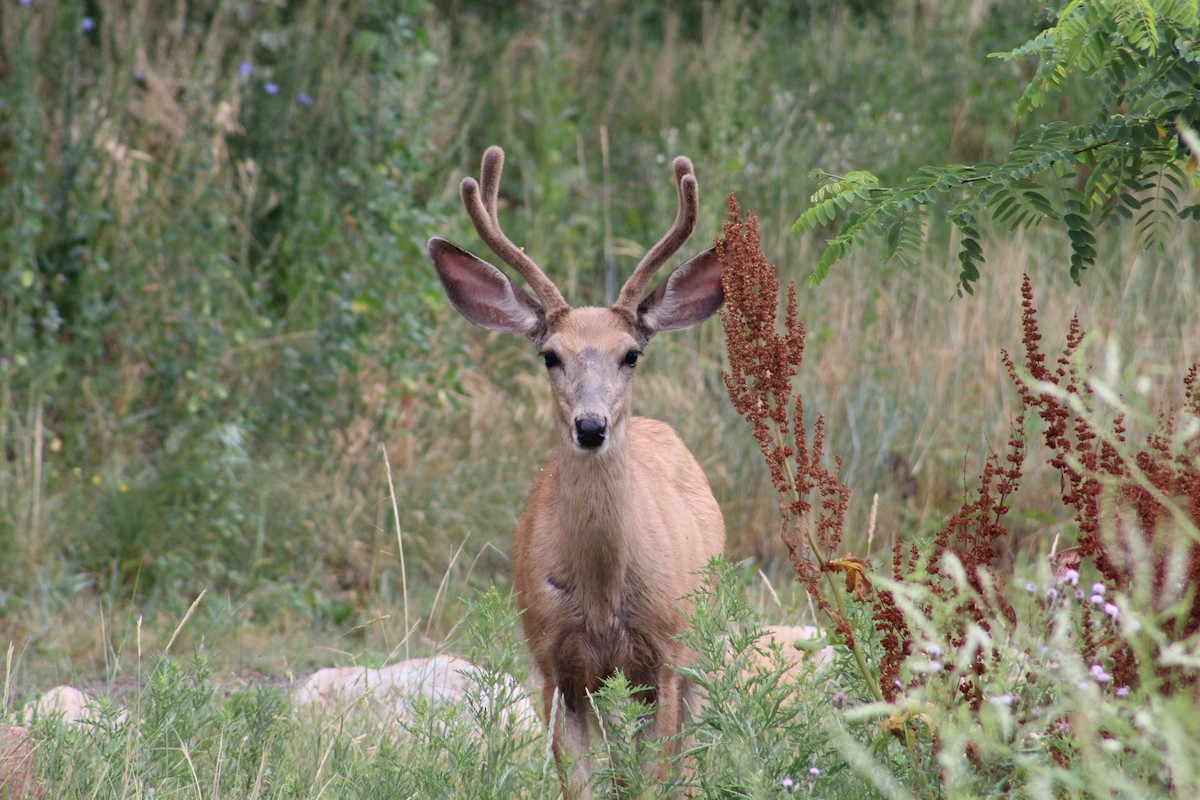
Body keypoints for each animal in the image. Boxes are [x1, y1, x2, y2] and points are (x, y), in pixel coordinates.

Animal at [427, 146, 726, 798]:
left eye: (631, 354)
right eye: (550, 355)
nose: (591, 426)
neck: (601, 595)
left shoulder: (665, 653)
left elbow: (655, 776)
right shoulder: (552, 663)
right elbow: (583, 783)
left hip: (702, 640)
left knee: (691, 760)